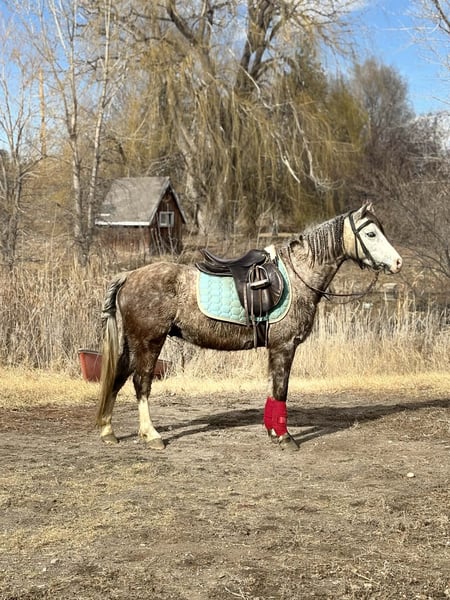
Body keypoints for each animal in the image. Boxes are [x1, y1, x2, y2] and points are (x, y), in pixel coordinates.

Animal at [96, 203, 402, 451]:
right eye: (371, 234)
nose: (398, 262)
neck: (298, 276)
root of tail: (129, 275)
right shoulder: (284, 346)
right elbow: (281, 389)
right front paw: (285, 438)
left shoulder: (276, 349)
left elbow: (272, 388)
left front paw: (273, 431)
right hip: (149, 341)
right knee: (141, 382)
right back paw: (151, 435)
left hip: (132, 342)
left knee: (118, 377)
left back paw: (108, 431)